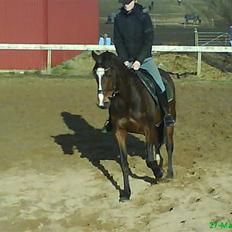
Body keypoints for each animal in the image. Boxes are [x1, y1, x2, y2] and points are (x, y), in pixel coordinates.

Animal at [92, 50, 176, 201]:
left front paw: (159, 174)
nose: (103, 102)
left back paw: (169, 174)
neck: (127, 99)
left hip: (168, 123)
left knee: (169, 146)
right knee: (157, 147)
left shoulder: (148, 129)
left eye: (109, 74)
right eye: (95, 74)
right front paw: (126, 193)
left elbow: (149, 160)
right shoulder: (119, 132)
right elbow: (124, 164)